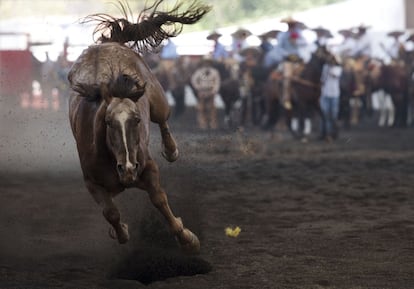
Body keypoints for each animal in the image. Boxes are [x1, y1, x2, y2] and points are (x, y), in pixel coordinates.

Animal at [68, 0, 210, 252]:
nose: (128, 168)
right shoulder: (92, 183)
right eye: (107, 122)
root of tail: (110, 43)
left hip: (157, 98)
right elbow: (111, 212)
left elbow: (159, 199)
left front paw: (187, 237)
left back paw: (171, 151)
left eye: (136, 120)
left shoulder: (148, 167)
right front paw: (121, 231)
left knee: (162, 119)